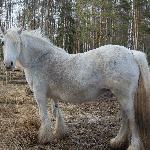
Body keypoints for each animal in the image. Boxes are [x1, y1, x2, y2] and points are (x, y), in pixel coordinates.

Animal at [1, 26, 150, 149]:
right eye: (3, 42)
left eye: (18, 43)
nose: (8, 64)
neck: (40, 59)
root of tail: (131, 53)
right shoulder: (53, 95)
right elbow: (57, 111)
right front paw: (60, 132)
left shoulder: (39, 95)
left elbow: (44, 116)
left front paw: (45, 138)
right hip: (121, 96)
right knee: (125, 117)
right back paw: (118, 141)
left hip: (124, 96)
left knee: (132, 118)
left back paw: (133, 145)